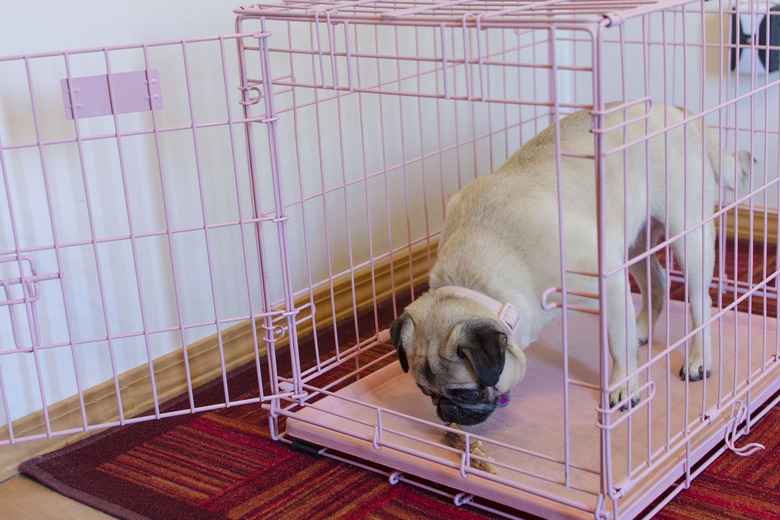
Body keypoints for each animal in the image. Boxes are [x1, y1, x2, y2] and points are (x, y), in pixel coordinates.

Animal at [390, 101, 748, 426]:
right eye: (425, 393)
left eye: (470, 392)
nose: (446, 411)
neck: (477, 282)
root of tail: (676, 112)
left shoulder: (610, 287)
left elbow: (617, 345)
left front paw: (623, 386)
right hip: (632, 242)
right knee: (656, 282)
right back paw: (641, 330)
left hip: (689, 235)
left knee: (700, 303)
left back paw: (699, 359)